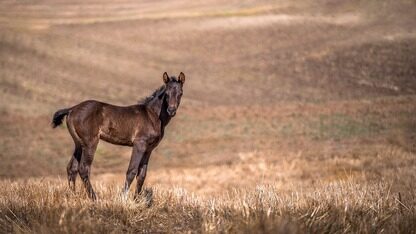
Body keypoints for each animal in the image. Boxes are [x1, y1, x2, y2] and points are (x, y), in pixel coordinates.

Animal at [51, 72, 184, 200]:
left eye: (180, 93)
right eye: (166, 93)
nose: (171, 110)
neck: (152, 115)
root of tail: (72, 109)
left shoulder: (149, 149)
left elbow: (142, 175)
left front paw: (137, 200)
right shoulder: (139, 144)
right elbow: (131, 171)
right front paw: (123, 198)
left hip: (79, 143)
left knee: (72, 167)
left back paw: (73, 195)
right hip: (90, 142)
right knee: (83, 168)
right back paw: (94, 198)